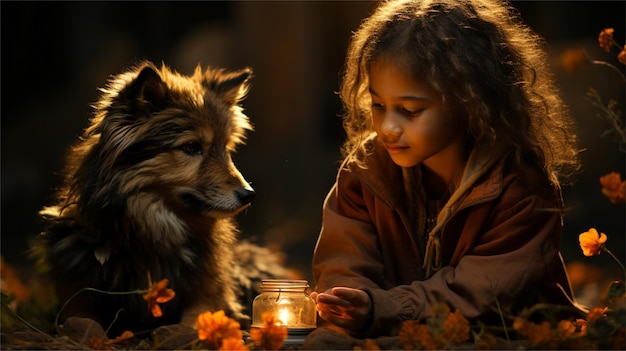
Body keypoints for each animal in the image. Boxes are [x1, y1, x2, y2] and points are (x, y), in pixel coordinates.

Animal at [32, 61, 290, 338]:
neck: (149, 231)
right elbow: (81, 321)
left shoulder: (210, 295)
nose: (248, 194)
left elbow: (198, 319)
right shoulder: (75, 294)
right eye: (191, 147)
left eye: (225, 148)